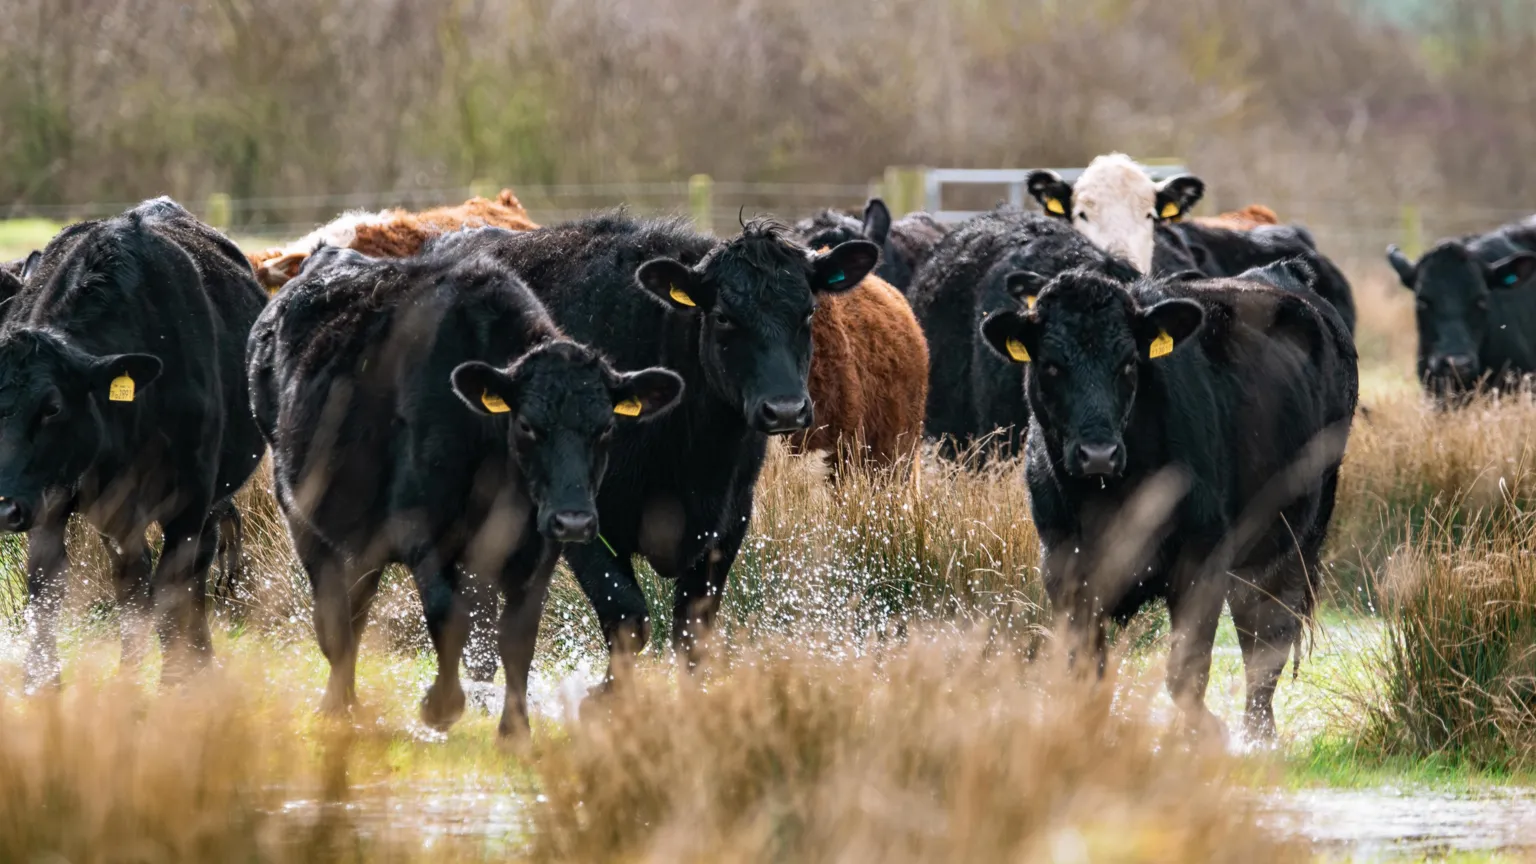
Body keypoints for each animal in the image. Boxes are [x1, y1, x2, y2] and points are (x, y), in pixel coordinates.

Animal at [0, 198, 265, 688]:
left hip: (210, 502)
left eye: (52, 407)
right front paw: (40, 687)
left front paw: (177, 685)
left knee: (191, 580)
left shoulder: (191, 501)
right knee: (133, 584)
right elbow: (45, 589)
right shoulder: (53, 500)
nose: (2, 507)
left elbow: (173, 596)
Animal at [247, 242, 683, 734]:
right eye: (527, 425)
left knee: (356, 609)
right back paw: (337, 706)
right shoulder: (420, 528)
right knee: (336, 617)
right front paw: (440, 705)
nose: (574, 520)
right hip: (302, 516)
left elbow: (517, 639)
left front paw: (515, 731)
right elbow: (448, 617)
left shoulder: (536, 547)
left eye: (606, 427)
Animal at [430, 215, 878, 681]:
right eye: (723, 317)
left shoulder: (730, 521)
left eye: (809, 312)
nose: (786, 408)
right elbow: (628, 618)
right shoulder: (582, 521)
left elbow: (692, 631)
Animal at [979, 268, 1357, 739]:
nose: (1098, 453)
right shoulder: (1063, 566)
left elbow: (1185, 671)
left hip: (1297, 534)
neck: (1108, 499)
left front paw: (1205, 736)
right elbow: (1086, 669)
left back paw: (1258, 735)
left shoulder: (1202, 557)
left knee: (1267, 637)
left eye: (1128, 363)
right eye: (1050, 364)